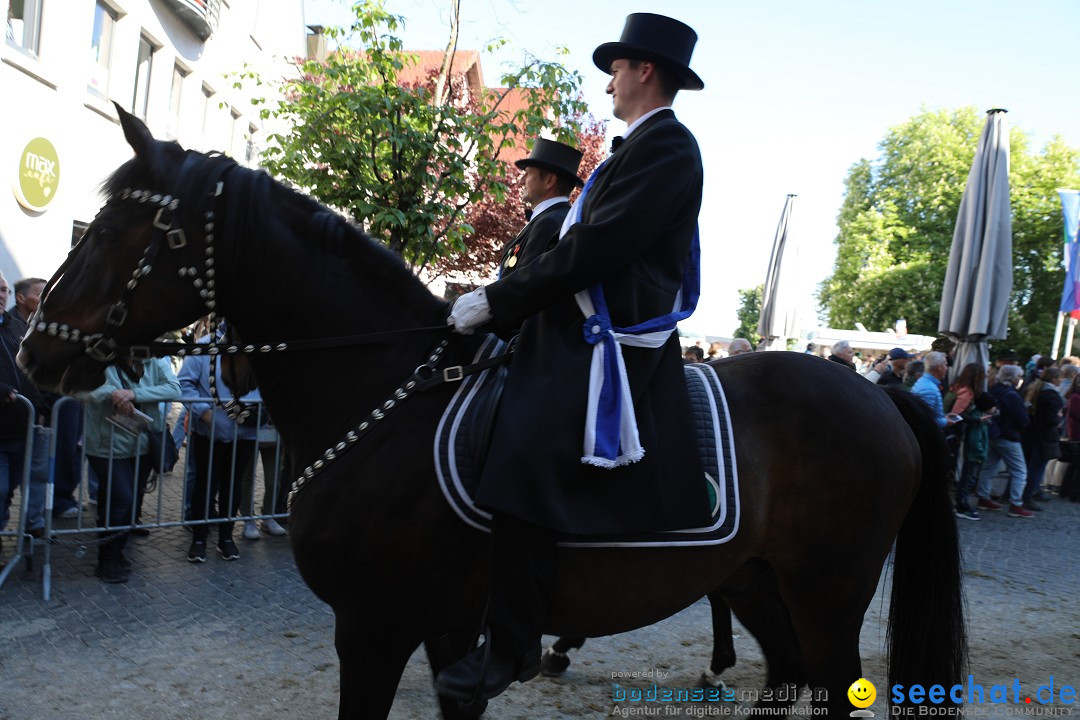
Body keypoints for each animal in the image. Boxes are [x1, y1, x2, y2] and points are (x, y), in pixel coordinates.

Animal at [16, 108, 967, 720]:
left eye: (110, 232)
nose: (33, 355)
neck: (384, 400)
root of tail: (877, 392)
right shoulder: (445, 636)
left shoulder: (373, 629)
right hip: (758, 583)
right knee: (786, 675)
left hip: (828, 589)